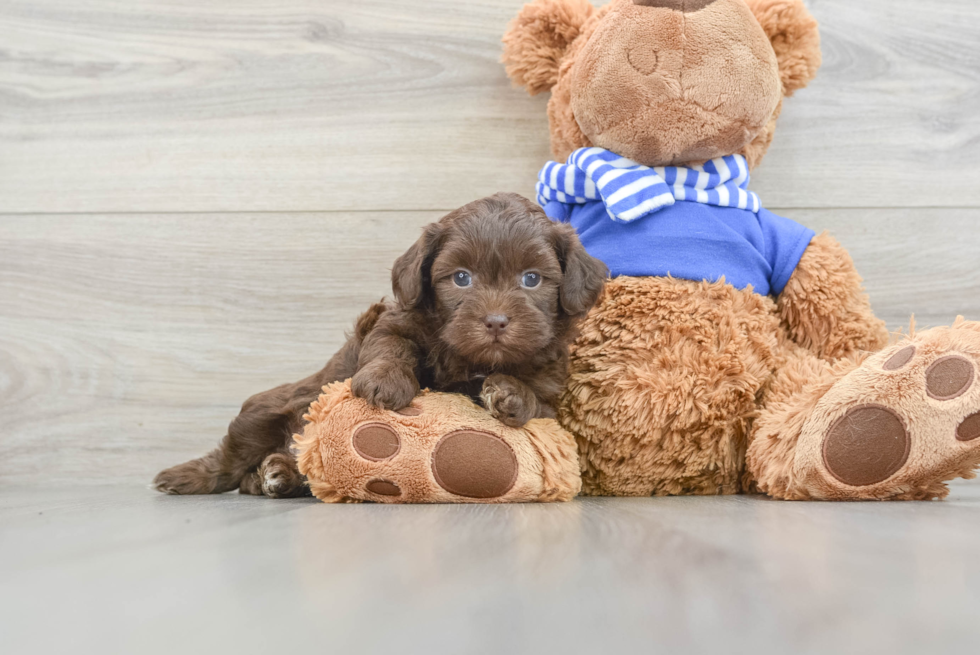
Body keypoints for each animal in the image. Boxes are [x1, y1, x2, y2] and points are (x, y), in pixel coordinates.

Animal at [153, 192, 604, 500]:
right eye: (461, 278)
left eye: (532, 279)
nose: (495, 321)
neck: (470, 358)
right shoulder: (394, 323)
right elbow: (392, 347)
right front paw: (386, 383)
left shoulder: (550, 388)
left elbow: (536, 400)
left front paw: (510, 393)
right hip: (265, 410)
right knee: (231, 456)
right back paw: (195, 476)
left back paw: (276, 474)